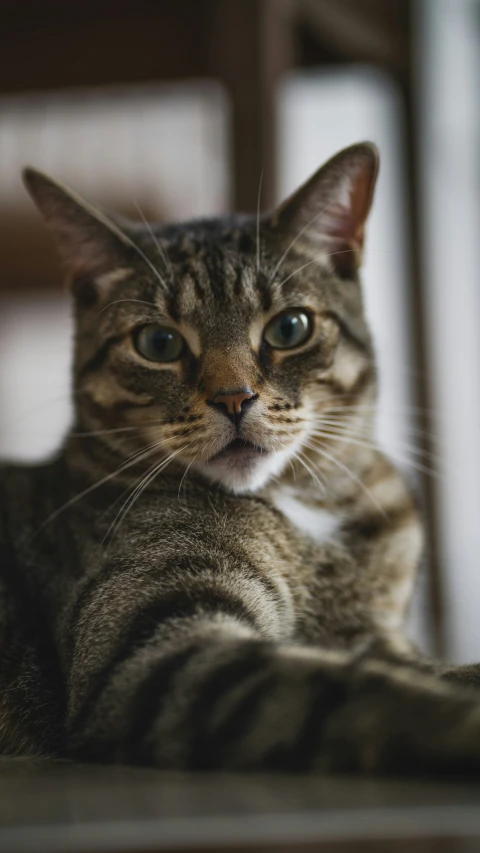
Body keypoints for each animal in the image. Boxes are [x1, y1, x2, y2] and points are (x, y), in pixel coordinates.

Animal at [0, 141, 480, 772]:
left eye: (290, 328)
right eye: (158, 343)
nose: (234, 398)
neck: (307, 514)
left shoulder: (376, 637)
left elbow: (442, 669)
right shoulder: (152, 653)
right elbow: (349, 691)